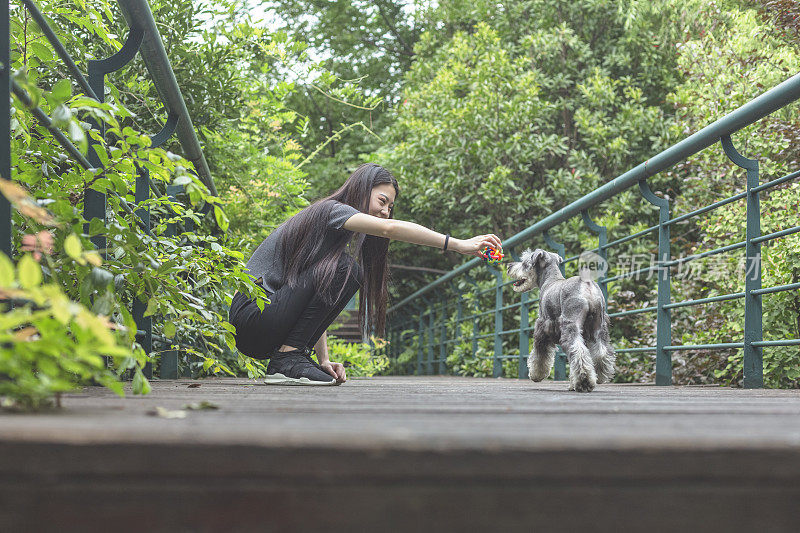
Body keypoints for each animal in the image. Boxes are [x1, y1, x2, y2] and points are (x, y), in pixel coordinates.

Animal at [510, 248, 616, 390]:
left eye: (524, 263)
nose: (509, 266)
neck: (550, 280)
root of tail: (587, 285)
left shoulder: (542, 328)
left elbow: (540, 355)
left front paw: (536, 375)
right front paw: (571, 383)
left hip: (570, 325)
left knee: (578, 350)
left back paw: (584, 381)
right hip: (598, 327)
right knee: (601, 352)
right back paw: (598, 376)